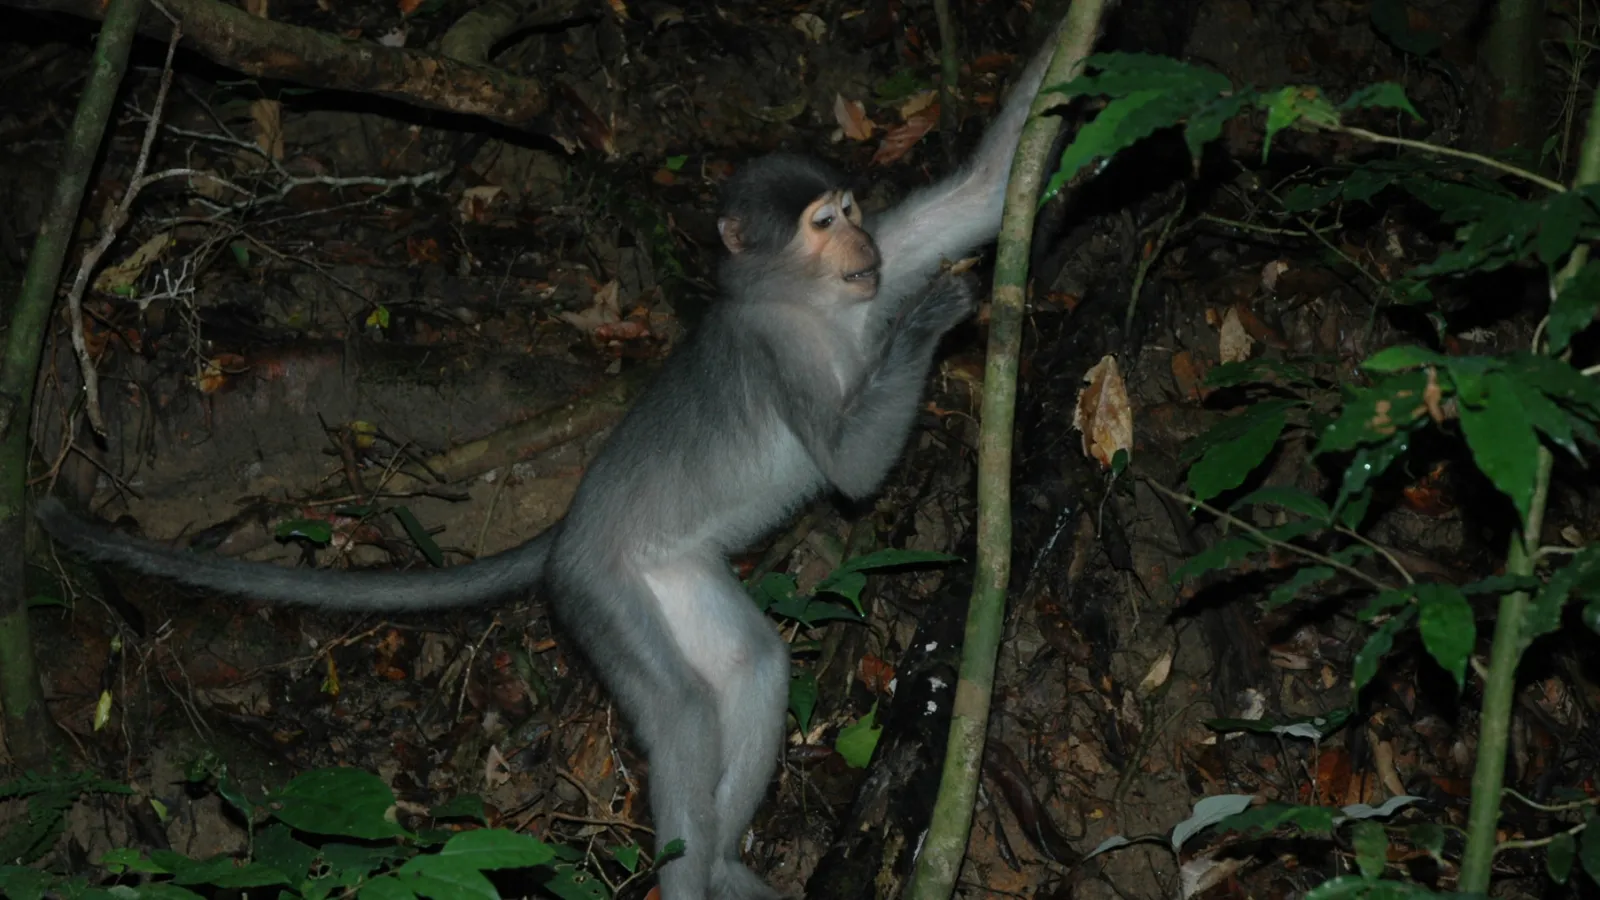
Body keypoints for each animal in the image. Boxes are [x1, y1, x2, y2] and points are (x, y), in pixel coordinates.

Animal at [36, 33, 1060, 900]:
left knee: (752, 664)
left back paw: (723, 861)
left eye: (850, 214)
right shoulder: (781, 354)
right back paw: (694, 874)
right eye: (821, 222)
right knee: (683, 709)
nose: (864, 245)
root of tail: (568, 530)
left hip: (672, 573)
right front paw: (934, 315)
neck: (810, 306)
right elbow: (848, 469)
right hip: (599, 589)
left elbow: (980, 191)